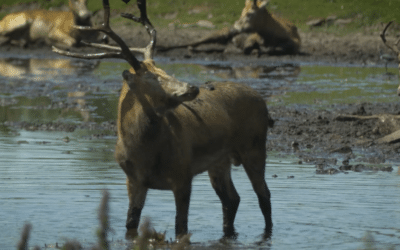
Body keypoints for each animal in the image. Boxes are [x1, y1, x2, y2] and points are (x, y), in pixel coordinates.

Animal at [54, 0, 276, 239]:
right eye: (152, 77)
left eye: (164, 70)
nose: (192, 87)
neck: (144, 152)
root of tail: (263, 103)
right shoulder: (133, 180)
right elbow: (130, 224)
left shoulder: (183, 175)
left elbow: (181, 227)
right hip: (220, 161)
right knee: (232, 199)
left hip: (254, 146)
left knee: (264, 195)